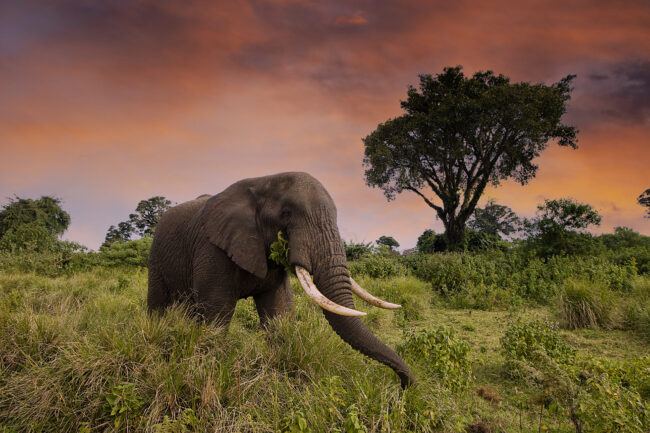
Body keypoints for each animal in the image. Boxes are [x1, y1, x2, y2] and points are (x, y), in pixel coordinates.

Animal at [147, 170, 416, 386]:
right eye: (286, 214)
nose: (405, 387)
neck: (262, 181)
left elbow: (279, 314)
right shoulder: (212, 249)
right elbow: (216, 316)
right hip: (156, 256)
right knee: (159, 306)